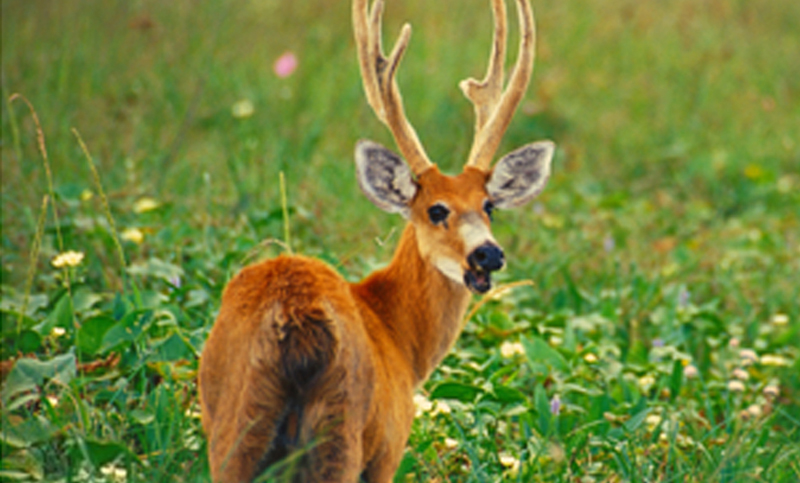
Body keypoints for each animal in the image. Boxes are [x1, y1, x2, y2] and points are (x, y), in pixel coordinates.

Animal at [198, 0, 555, 481]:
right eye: (436, 210)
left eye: (489, 206)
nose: (488, 254)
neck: (399, 337)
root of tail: (296, 318)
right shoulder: (390, 443)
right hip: (342, 429)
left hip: (236, 424)